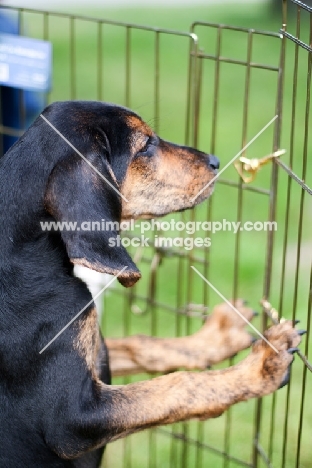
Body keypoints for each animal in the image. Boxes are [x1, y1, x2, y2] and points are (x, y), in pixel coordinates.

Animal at [0, 101, 302, 464]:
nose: (215, 161)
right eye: (145, 145)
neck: (28, 251)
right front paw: (261, 365)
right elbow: (178, 386)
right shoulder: (72, 419)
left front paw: (215, 337)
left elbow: (141, 343)